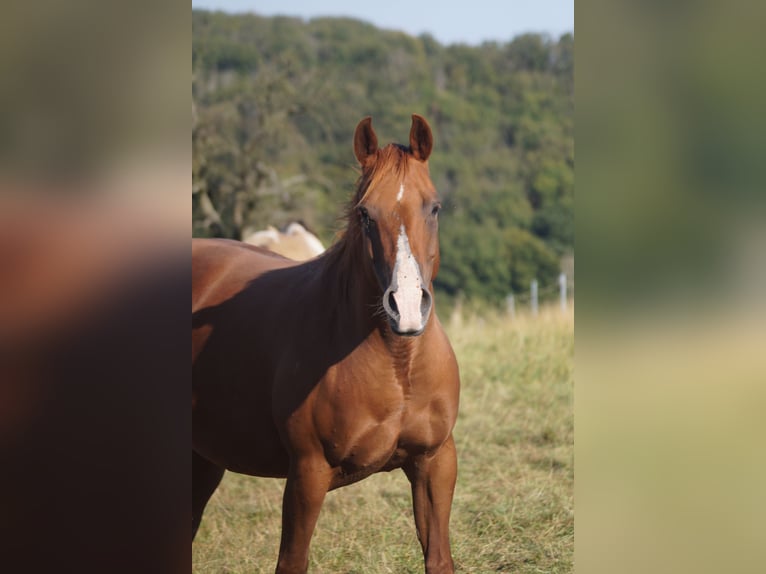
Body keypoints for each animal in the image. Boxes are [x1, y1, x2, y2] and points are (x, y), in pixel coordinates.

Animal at [192, 115, 462, 572]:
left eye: (435, 207)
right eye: (365, 213)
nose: (407, 307)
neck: (398, 366)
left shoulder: (434, 463)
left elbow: (439, 559)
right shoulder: (307, 475)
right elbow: (292, 562)